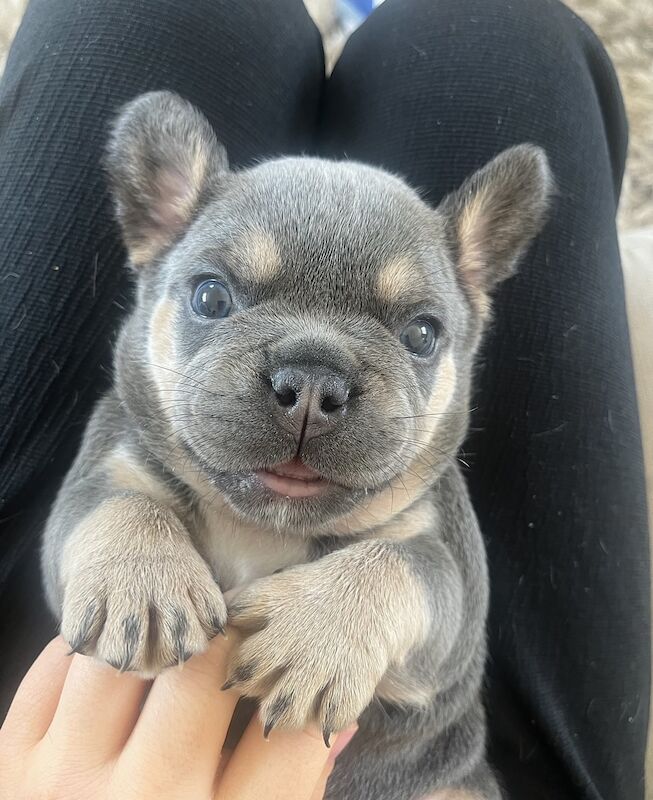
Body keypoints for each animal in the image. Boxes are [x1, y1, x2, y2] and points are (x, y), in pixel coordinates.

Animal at [40, 94, 552, 800]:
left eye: (423, 335)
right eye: (210, 296)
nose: (313, 379)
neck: (261, 526)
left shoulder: (452, 602)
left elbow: (399, 565)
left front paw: (316, 631)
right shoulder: (104, 470)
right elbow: (116, 504)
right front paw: (139, 578)